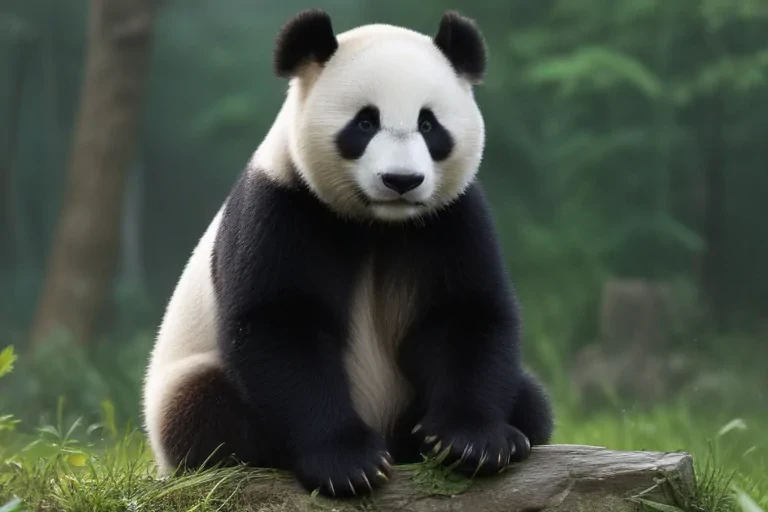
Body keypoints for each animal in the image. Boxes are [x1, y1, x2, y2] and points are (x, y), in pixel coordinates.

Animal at [142, 8, 554, 498]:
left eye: (429, 125)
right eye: (365, 123)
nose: (401, 180)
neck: (378, 224)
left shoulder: (451, 218)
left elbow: (465, 314)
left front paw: (472, 442)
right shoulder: (282, 206)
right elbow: (281, 326)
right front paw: (348, 464)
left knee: (532, 400)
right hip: (178, 391)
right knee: (203, 411)